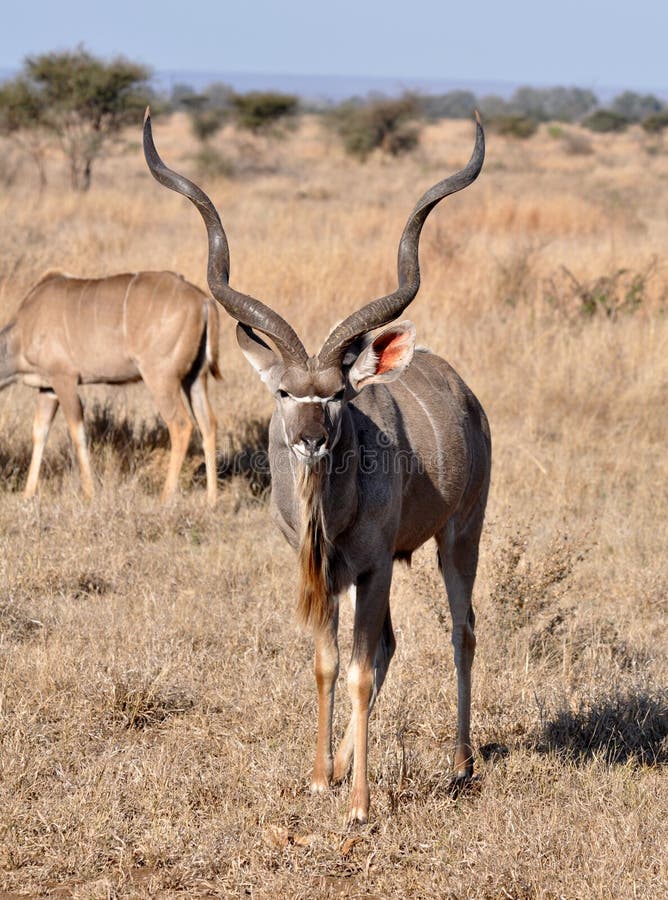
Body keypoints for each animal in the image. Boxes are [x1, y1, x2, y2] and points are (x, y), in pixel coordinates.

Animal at [0, 268, 220, 506]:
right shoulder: (48, 388)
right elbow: (40, 432)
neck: (22, 331)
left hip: (161, 377)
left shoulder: (64, 378)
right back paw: (211, 500)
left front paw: (89, 494)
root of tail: (203, 301)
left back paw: (164, 498)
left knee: (181, 424)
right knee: (208, 423)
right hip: (195, 378)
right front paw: (27, 495)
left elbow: (77, 432)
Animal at [145, 110, 490, 824]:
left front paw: (359, 804)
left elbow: (358, 668)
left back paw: (460, 764)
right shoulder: (329, 575)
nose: (309, 440)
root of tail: (467, 396)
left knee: (461, 630)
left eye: (337, 394)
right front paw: (320, 777)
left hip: (458, 537)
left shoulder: (375, 564)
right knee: (387, 647)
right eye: (284, 391)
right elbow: (330, 664)